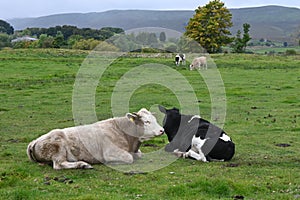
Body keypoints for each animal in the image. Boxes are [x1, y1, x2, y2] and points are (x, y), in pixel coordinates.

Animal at [26, 108, 164, 170]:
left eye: (154, 119)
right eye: (146, 122)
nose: (162, 130)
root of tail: (35, 141)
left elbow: (139, 155)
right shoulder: (111, 152)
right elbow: (129, 158)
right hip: (58, 150)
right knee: (59, 165)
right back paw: (82, 164)